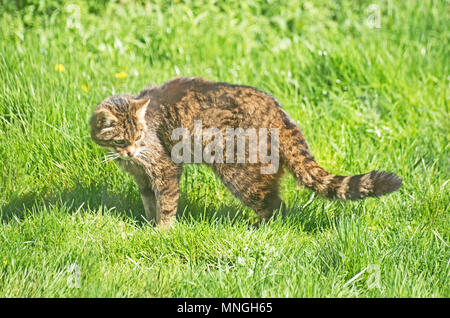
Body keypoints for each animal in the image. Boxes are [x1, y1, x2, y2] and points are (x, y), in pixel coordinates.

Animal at [90, 77, 400, 229]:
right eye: (122, 140)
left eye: (139, 136)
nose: (131, 153)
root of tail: (276, 109)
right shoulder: (141, 176)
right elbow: (148, 200)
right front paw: (147, 221)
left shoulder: (163, 167)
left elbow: (165, 202)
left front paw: (162, 230)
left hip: (239, 170)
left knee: (275, 205)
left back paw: (259, 227)